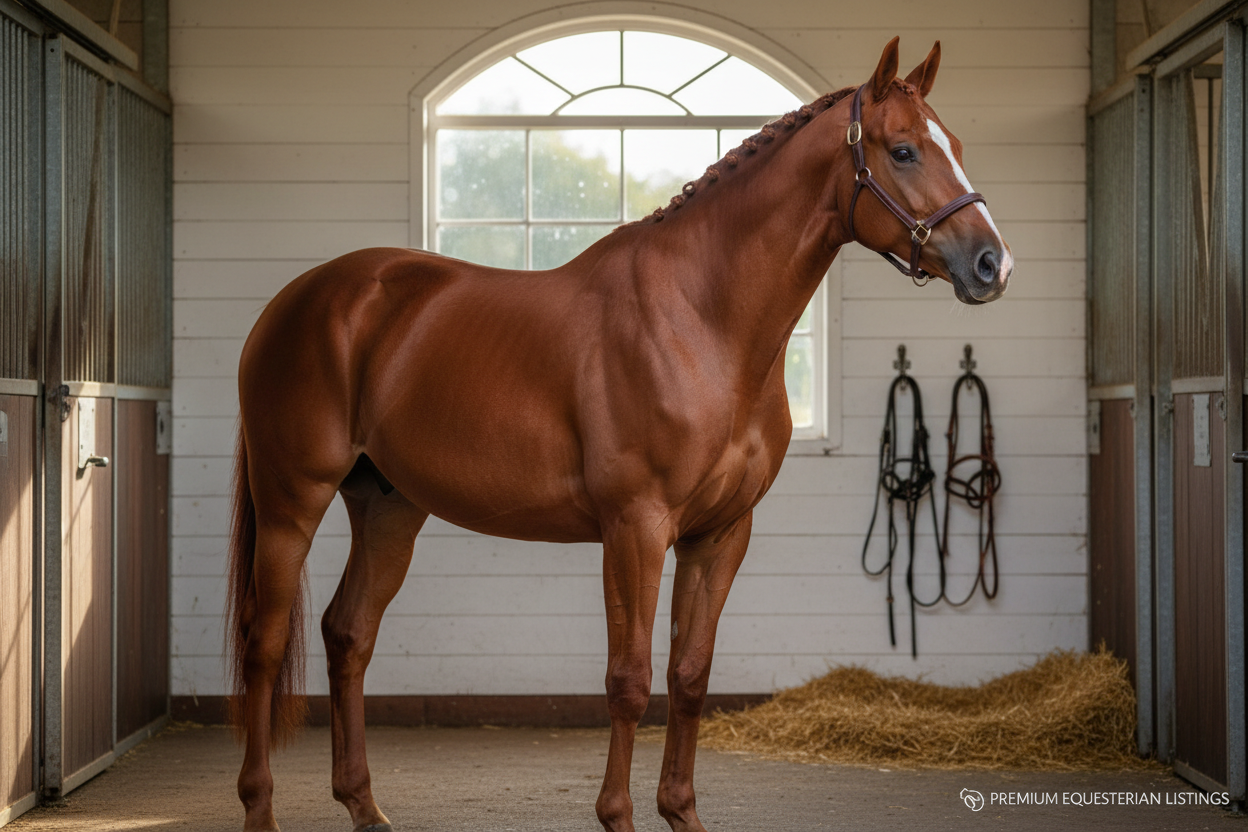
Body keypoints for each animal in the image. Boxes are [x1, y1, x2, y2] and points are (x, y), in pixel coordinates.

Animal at [226, 36, 1012, 832]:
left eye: (956, 146)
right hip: (293, 500)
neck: (700, 321)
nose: (992, 263)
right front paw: (618, 815)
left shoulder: (720, 534)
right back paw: (259, 806)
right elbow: (630, 680)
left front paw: (682, 813)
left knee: (348, 634)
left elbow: (689, 676)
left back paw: (363, 804)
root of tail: (299, 300)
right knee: (264, 642)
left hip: (387, 505)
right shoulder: (635, 528)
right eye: (904, 150)